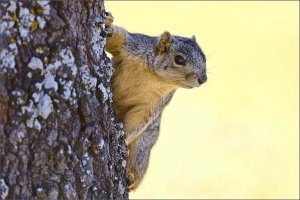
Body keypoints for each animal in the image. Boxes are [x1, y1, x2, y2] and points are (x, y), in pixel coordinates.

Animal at [104, 11, 207, 190]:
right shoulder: (134, 46)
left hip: (143, 146)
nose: (203, 79)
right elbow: (118, 39)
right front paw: (108, 24)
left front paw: (122, 137)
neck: (155, 77)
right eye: (179, 59)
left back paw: (131, 177)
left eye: (204, 58)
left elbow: (139, 120)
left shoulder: (153, 104)